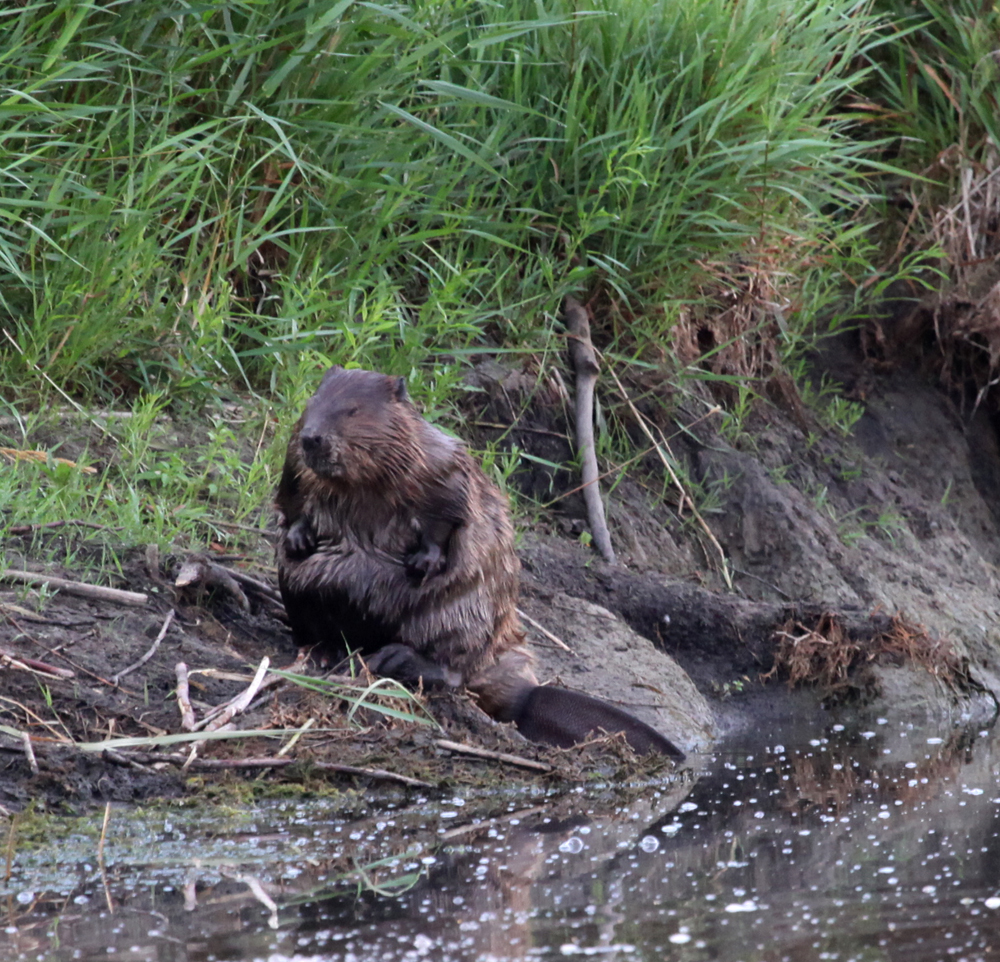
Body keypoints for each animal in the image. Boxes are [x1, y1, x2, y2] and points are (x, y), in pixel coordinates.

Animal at [278, 366, 684, 756]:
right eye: (312, 402)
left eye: (352, 410)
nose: (312, 437)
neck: (360, 483)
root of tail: (526, 698)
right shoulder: (294, 463)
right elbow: (292, 500)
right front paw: (298, 539)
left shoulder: (439, 463)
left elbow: (449, 512)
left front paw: (423, 562)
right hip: (300, 590)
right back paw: (324, 652)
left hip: (458, 616)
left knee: (454, 669)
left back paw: (396, 659)